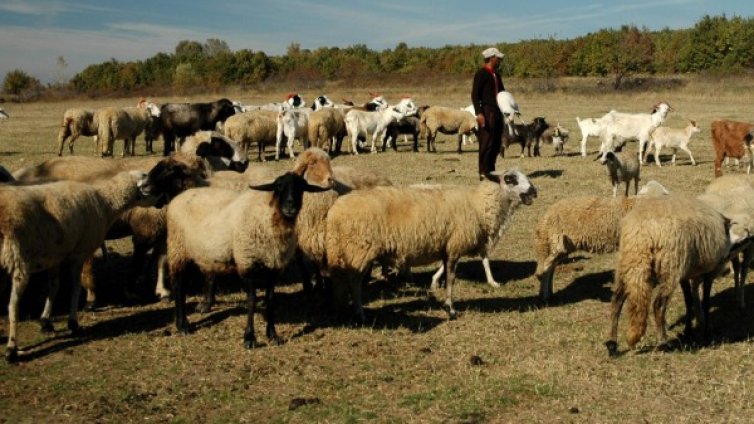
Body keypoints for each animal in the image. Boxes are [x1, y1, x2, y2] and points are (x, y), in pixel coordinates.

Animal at [0, 163, 177, 362]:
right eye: (149, 184)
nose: (164, 200)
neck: (104, 201)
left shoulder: (55, 256)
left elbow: (53, 288)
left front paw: (46, 321)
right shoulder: (79, 252)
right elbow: (76, 287)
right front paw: (73, 322)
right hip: (18, 259)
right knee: (13, 304)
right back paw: (11, 348)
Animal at [166, 171, 330, 348]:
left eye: (301, 187)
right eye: (279, 186)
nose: (290, 206)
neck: (269, 217)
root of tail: (180, 196)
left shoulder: (274, 268)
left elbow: (270, 300)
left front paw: (272, 335)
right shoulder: (247, 263)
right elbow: (251, 301)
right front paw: (249, 338)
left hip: (193, 252)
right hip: (177, 248)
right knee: (177, 285)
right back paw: (183, 325)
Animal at [324, 169, 536, 322]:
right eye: (510, 179)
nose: (534, 191)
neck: (478, 204)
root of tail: (334, 213)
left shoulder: (449, 245)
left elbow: (448, 269)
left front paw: (437, 285)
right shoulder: (456, 244)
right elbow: (451, 279)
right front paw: (450, 309)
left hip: (345, 250)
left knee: (341, 280)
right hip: (360, 249)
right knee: (355, 282)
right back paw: (360, 313)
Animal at [532, 181, 668, 304]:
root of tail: (545, 218)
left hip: (563, 246)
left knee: (551, 267)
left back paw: (548, 292)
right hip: (556, 242)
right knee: (546, 267)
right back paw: (545, 295)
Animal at [604, 195, 744, 354]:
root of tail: (643, 233)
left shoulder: (685, 274)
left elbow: (689, 301)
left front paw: (688, 332)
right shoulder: (708, 273)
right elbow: (705, 302)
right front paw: (706, 333)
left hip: (629, 263)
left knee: (617, 300)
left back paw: (612, 343)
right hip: (670, 266)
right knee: (658, 304)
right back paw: (663, 342)